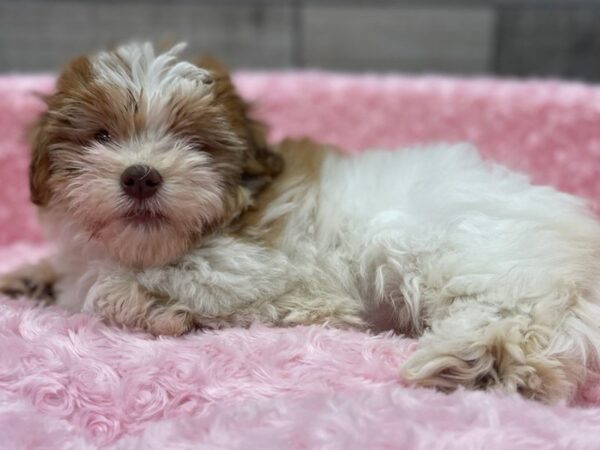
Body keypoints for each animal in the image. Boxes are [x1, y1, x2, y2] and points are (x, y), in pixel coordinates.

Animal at [1, 41, 600, 400]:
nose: (141, 176)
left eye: (193, 143)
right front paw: (30, 277)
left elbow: (107, 288)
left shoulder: (251, 263)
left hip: (442, 246)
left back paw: (473, 359)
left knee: (520, 317)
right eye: (100, 136)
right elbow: (75, 275)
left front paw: (148, 306)